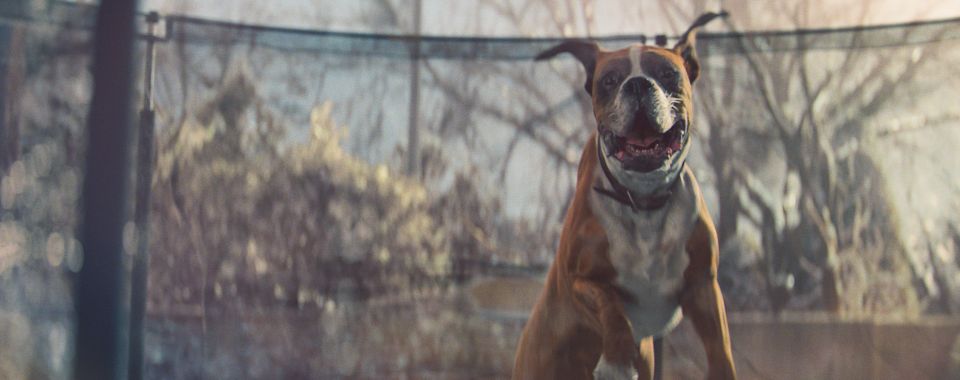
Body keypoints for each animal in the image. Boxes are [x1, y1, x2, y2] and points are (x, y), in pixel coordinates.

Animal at [516, 12, 736, 380]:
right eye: (610, 80)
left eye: (667, 73)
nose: (637, 84)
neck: (643, 201)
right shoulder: (581, 281)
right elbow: (612, 307)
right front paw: (617, 359)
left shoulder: (704, 285)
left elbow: (720, 347)